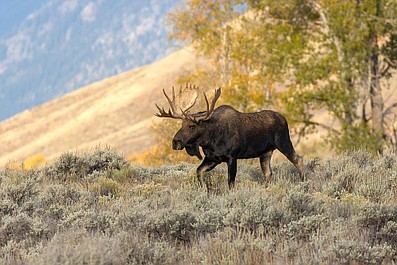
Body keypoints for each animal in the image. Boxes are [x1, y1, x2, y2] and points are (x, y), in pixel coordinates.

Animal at [155, 83, 304, 189]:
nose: (175, 142)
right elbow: (199, 171)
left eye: (192, 126)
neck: (210, 140)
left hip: (283, 142)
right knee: (268, 172)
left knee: (298, 159)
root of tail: (284, 119)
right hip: (265, 153)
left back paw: (303, 183)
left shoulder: (232, 156)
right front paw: (203, 190)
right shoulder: (213, 158)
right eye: (181, 124)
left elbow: (230, 183)